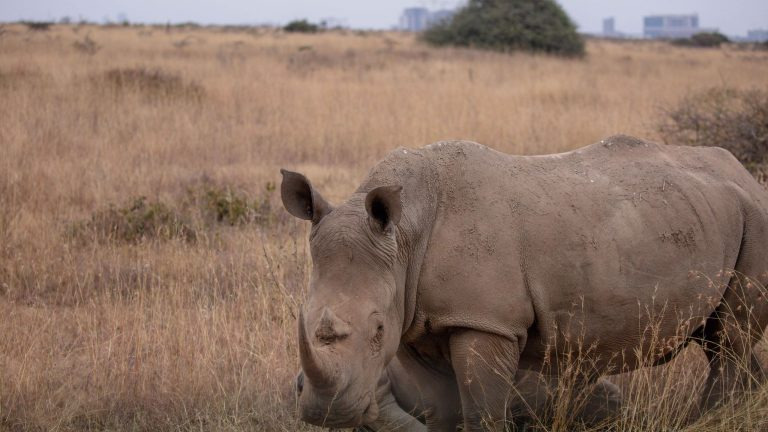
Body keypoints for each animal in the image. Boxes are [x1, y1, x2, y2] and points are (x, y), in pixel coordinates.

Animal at [281, 135, 768, 431]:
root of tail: (747, 175)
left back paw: (708, 421)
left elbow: (482, 413)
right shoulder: (419, 318)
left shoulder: (486, 321)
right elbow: (442, 410)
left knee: (729, 340)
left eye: (378, 329)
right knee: (723, 340)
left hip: (755, 219)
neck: (404, 238)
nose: (327, 413)